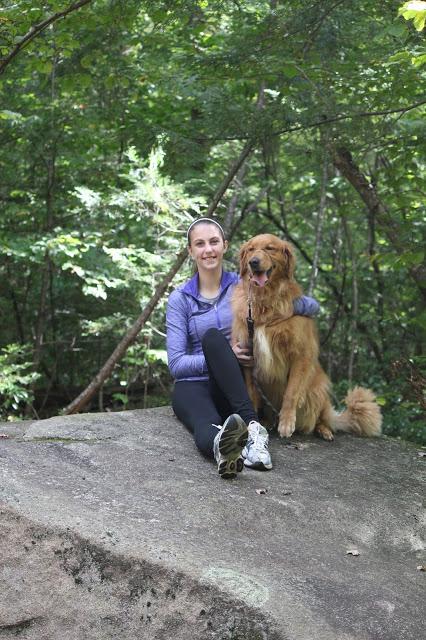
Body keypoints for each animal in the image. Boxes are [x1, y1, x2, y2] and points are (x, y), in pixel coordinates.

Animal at [233, 235, 382, 440]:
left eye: (270, 248)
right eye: (250, 249)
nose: (253, 262)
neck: (265, 301)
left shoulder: (301, 354)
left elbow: (291, 392)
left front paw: (287, 423)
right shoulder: (247, 352)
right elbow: (250, 391)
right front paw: (253, 421)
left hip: (319, 388)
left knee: (321, 417)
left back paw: (323, 429)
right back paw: (269, 421)